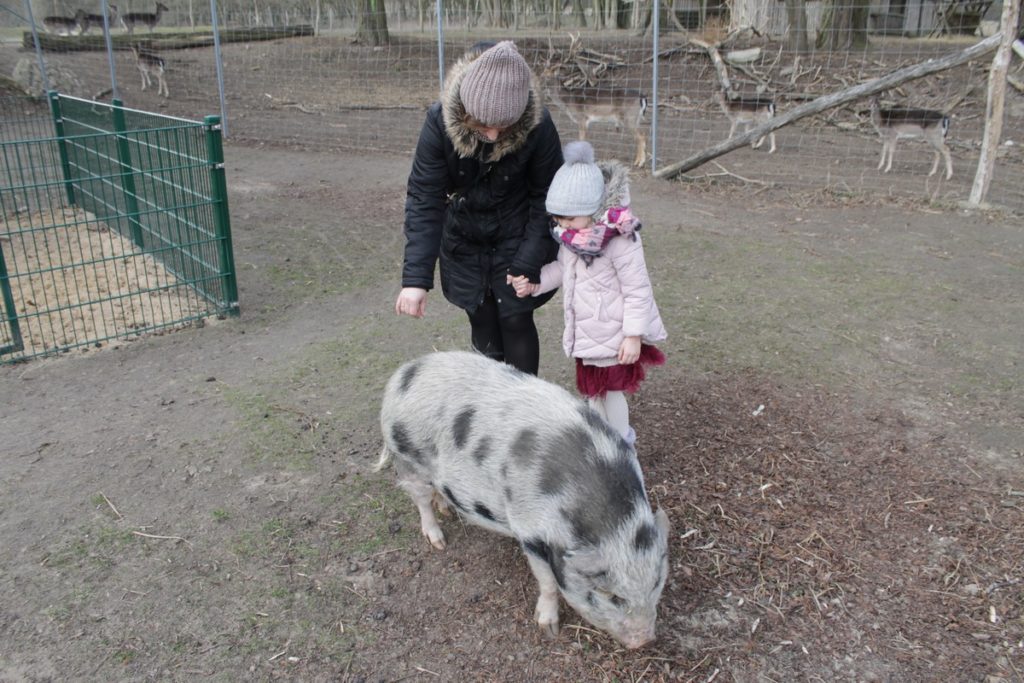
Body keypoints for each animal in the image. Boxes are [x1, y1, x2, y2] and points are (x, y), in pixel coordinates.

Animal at [544, 35, 647, 168]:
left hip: (629, 117)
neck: (568, 101)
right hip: (636, 118)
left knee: (641, 136)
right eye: (545, 66)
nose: (543, 75)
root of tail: (642, 97)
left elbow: (582, 140)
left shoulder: (582, 118)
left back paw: (639, 163)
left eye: (554, 69)